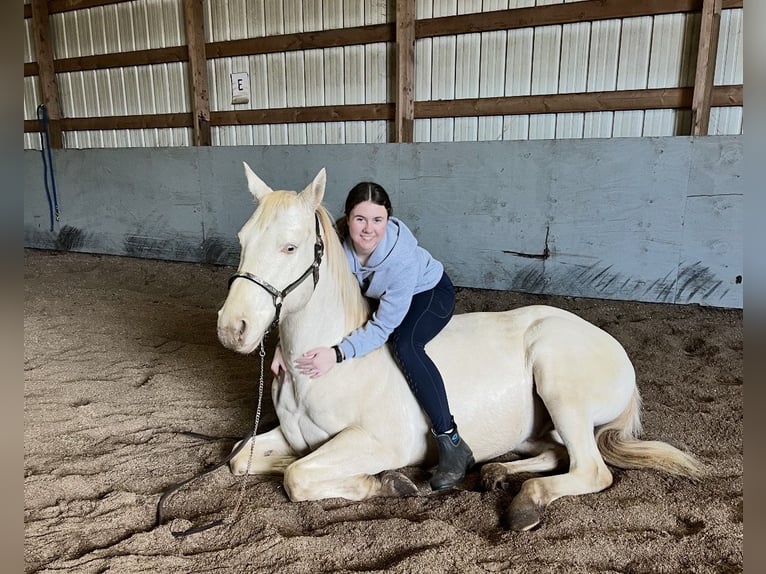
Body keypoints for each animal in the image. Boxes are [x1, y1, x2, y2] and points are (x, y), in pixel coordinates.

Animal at [216, 164, 702, 531]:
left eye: (290, 247)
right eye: (242, 241)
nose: (232, 328)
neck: (331, 367)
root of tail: (617, 352)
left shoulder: (375, 442)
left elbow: (297, 475)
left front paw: (388, 483)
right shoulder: (290, 436)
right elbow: (243, 458)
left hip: (561, 390)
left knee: (590, 469)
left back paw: (524, 503)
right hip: (538, 427)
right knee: (555, 452)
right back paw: (496, 473)